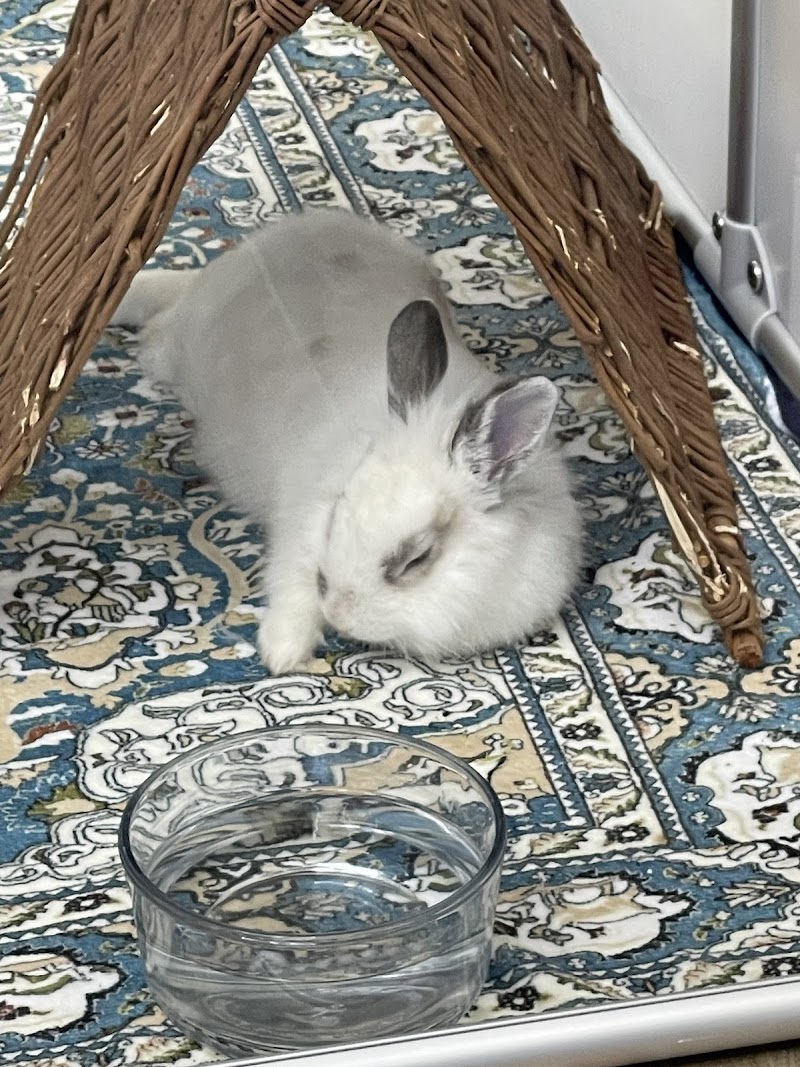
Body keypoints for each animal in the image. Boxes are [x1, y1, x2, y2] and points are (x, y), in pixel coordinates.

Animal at [111, 209, 582, 674]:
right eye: (339, 510)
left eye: (417, 558)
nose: (339, 613)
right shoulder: (298, 532)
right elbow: (292, 588)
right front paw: (282, 652)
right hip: (178, 345)